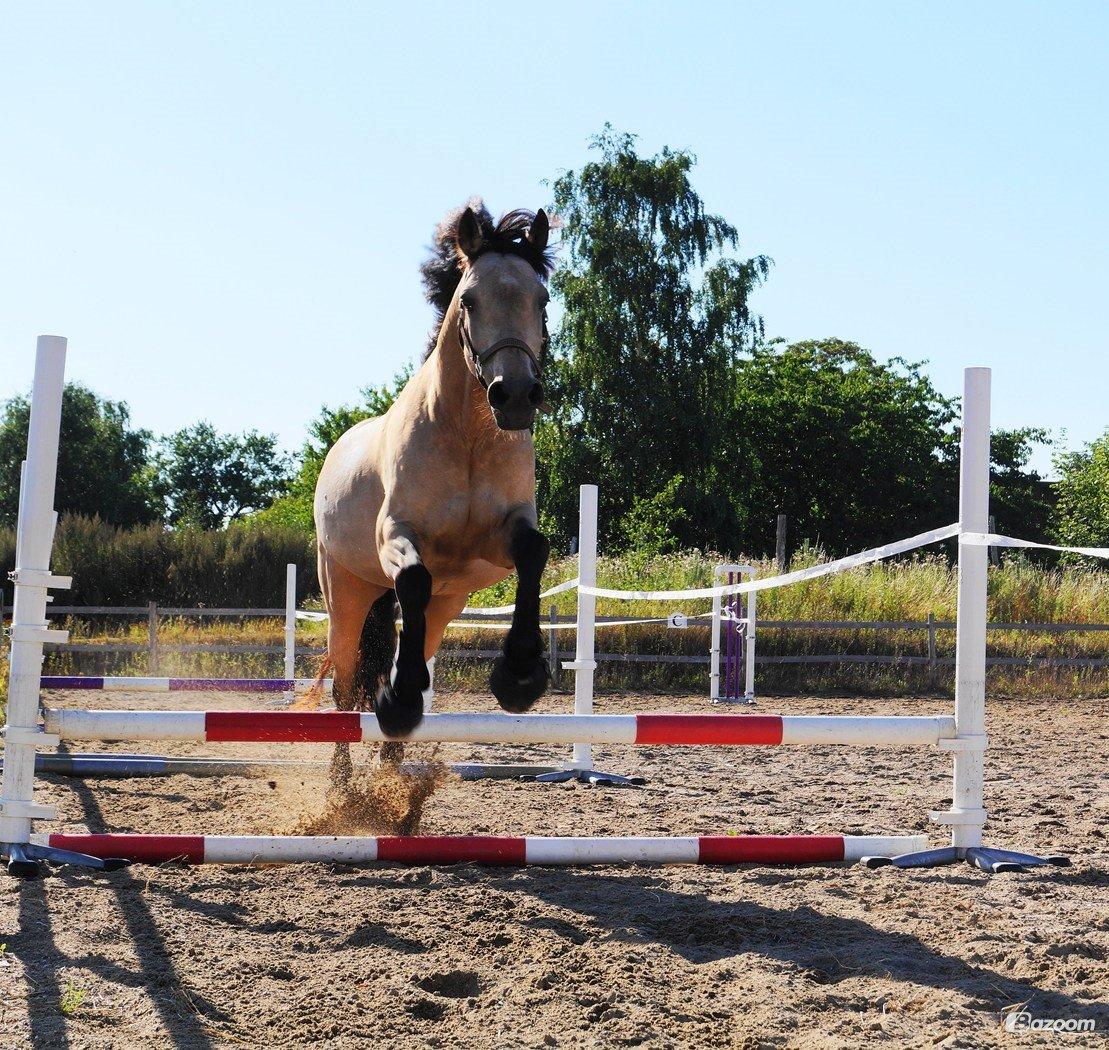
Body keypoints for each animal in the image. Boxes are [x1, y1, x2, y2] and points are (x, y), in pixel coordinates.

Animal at [312, 200, 554, 762]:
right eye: (469, 300)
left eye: (542, 299)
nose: (514, 395)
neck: (467, 437)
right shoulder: (397, 534)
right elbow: (414, 578)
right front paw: (398, 699)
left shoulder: (497, 538)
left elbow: (534, 553)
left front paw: (519, 677)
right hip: (346, 597)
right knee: (344, 689)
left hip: (449, 605)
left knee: (415, 641)